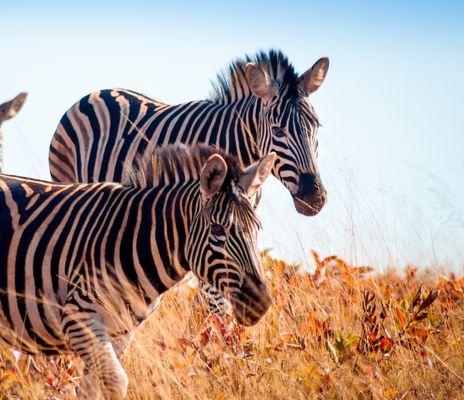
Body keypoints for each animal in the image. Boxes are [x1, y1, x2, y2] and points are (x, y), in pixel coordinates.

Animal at [0, 145, 276, 398]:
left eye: (258, 228)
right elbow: (116, 382)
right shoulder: (78, 317)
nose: (260, 302)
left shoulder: (121, 331)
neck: (134, 240)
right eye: (218, 230)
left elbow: (90, 389)